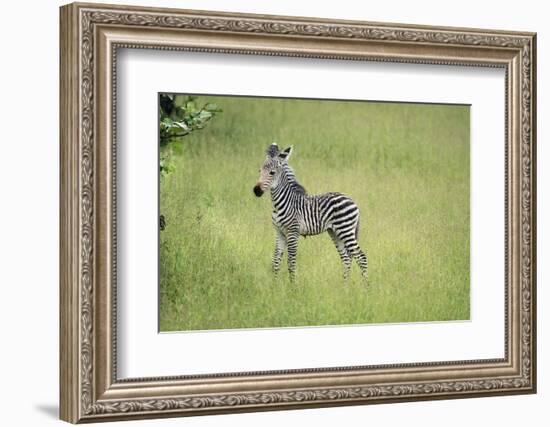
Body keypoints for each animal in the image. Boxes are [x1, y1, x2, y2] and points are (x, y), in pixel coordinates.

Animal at [254, 144, 370, 284]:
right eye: (259, 171)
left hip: (345, 230)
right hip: (335, 232)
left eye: (272, 172)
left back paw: (366, 288)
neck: (281, 203)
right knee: (346, 258)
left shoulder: (293, 232)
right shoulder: (279, 233)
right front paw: (274, 285)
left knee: (361, 257)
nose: (256, 191)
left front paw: (293, 286)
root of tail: (352, 200)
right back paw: (344, 287)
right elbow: (276, 261)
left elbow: (291, 262)